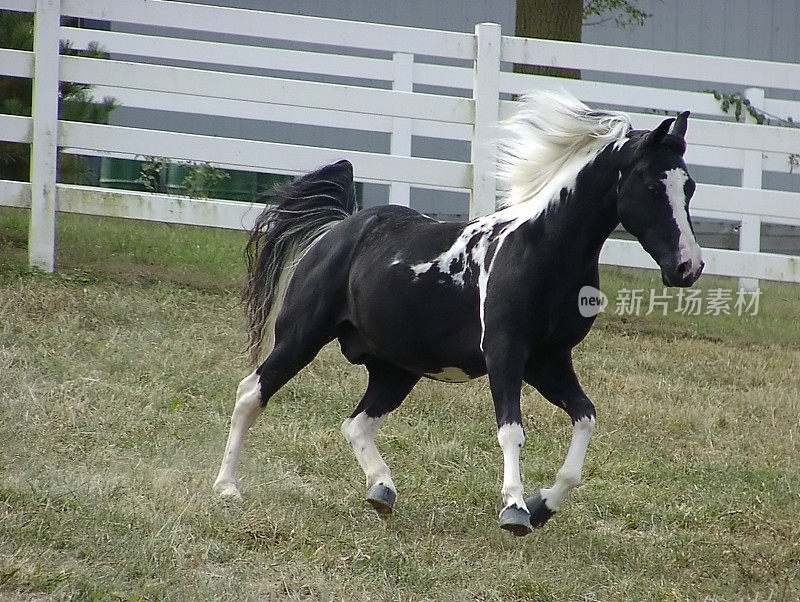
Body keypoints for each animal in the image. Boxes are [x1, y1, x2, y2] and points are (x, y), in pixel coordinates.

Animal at [216, 91, 704, 532]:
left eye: (689, 186)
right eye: (652, 185)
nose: (689, 266)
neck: (541, 250)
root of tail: (339, 228)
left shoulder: (549, 360)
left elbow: (585, 418)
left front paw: (542, 505)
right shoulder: (505, 352)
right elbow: (511, 429)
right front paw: (515, 510)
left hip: (396, 368)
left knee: (356, 424)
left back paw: (382, 490)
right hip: (301, 336)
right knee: (251, 392)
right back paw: (226, 487)